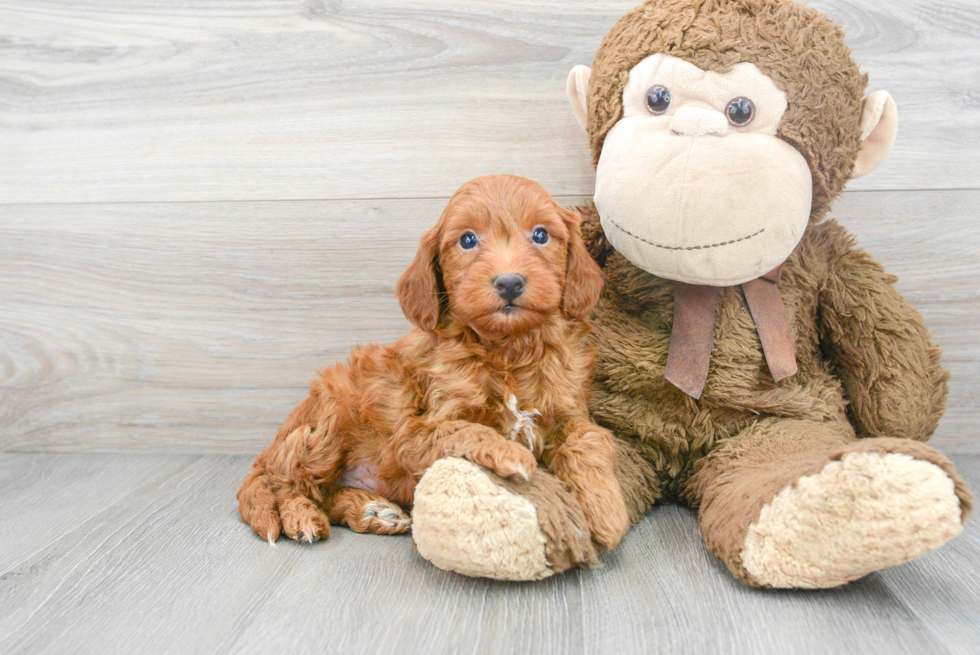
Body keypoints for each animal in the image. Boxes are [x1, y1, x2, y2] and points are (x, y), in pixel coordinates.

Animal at [241, 174, 632, 548]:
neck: (508, 349)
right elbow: (466, 430)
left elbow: (590, 439)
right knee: (276, 484)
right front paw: (511, 454)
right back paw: (301, 516)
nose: (509, 283)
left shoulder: (570, 409)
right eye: (468, 240)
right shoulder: (419, 431)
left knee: (322, 492)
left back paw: (373, 511)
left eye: (540, 235)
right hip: (327, 420)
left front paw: (604, 509)